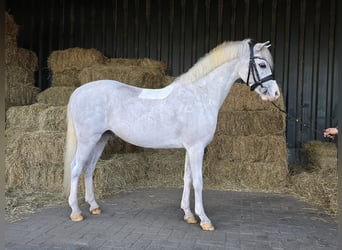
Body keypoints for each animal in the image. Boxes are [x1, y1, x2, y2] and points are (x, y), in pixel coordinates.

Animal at [64, 38, 280, 230]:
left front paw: (189, 214)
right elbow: (198, 182)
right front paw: (204, 220)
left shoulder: (190, 148)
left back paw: (94, 206)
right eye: (262, 65)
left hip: (101, 138)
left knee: (89, 169)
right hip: (88, 140)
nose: (275, 94)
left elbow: (187, 179)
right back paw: (75, 212)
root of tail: (78, 92)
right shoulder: (196, 148)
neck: (200, 95)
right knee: (76, 168)